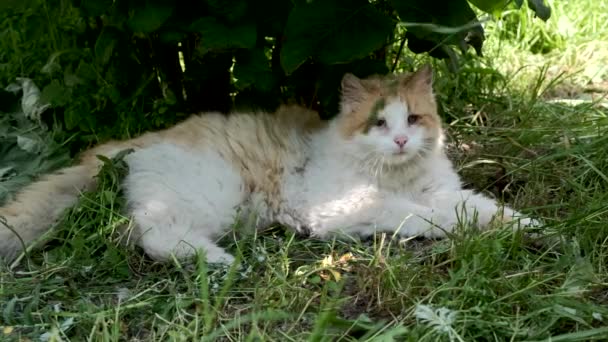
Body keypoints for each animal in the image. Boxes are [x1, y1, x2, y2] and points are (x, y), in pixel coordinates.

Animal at [0, 65, 536, 264]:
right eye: (379, 124)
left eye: (414, 119)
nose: (402, 139)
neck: (399, 175)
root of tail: (138, 141)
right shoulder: (345, 206)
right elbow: (420, 215)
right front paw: (452, 227)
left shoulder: (443, 189)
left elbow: (476, 207)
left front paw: (521, 225)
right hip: (211, 196)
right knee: (149, 235)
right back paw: (218, 260)